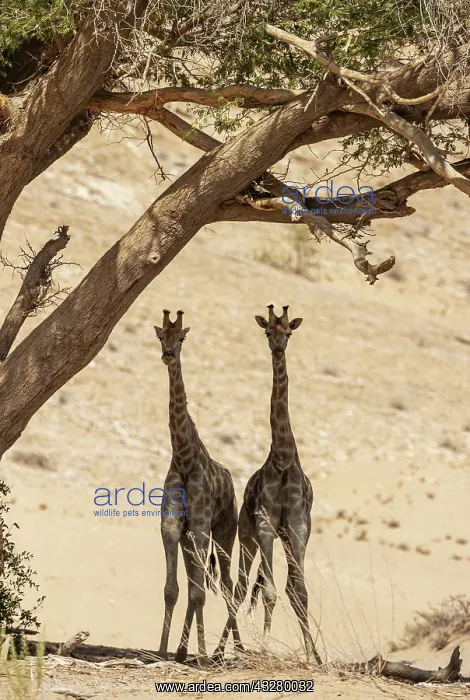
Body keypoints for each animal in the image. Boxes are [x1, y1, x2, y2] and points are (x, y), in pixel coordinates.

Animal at [214, 305, 322, 665]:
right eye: (266, 331)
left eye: (288, 331)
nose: (277, 348)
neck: (284, 459)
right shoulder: (263, 523)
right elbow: (270, 592)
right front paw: (263, 648)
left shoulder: (299, 527)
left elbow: (298, 591)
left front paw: (315, 657)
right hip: (247, 534)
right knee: (239, 587)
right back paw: (224, 650)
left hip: (281, 537)